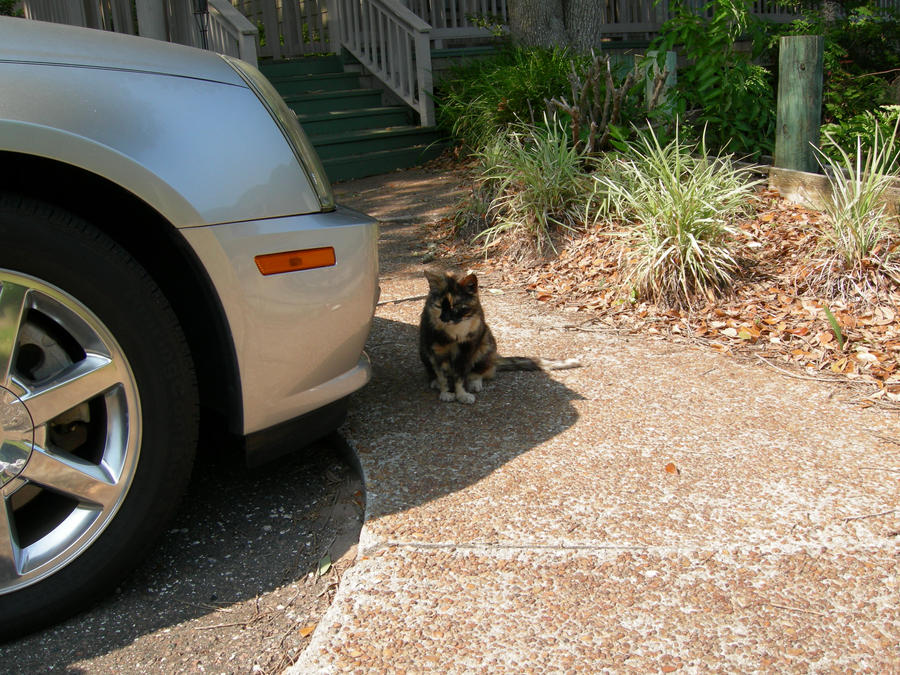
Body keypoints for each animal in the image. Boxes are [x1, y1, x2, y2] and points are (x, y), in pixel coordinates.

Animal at [418, 270, 580, 406]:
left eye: (456, 306)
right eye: (439, 306)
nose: (444, 318)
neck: (454, 333)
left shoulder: (466, 351)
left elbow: (460, 376)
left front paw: (462, 394)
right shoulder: (436, 351)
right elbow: (442, 375)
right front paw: (446, 392)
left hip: (486, 343)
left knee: (480, 371)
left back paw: (475, 383)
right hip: (423, 350)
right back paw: (435, 382)